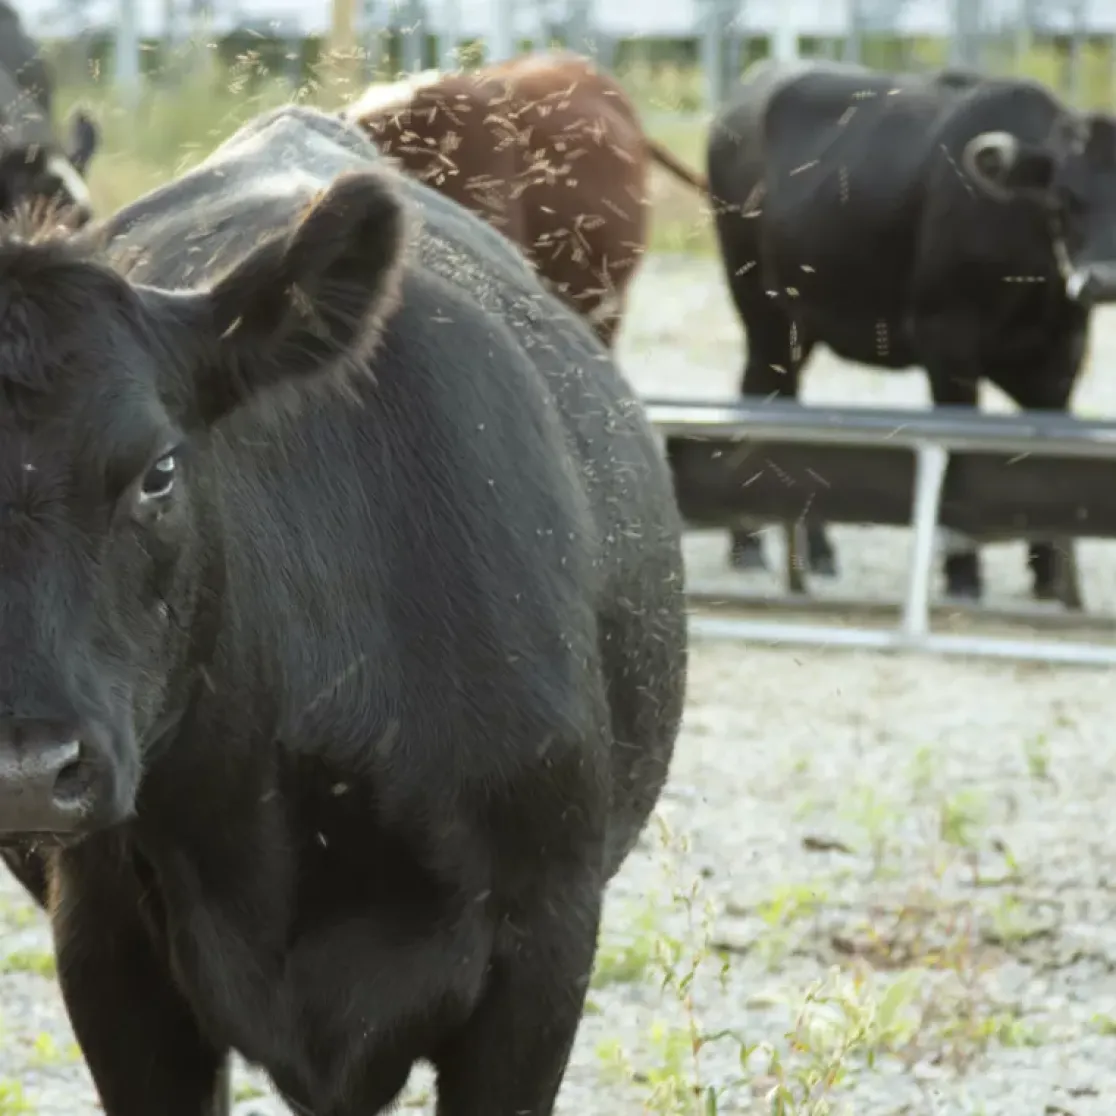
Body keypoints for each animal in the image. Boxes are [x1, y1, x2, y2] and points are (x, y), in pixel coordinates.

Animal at [707, 58, 1116, 605]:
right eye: (1065, 198)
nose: (1102, 280)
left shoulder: (1058, 361)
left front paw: (1050, 577)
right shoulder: (947, 346)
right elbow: (959, 458)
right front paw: (963, 574)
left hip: (796, 326)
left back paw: (803, 549)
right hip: (764, 313)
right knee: (766, 401)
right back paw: (751, 546)